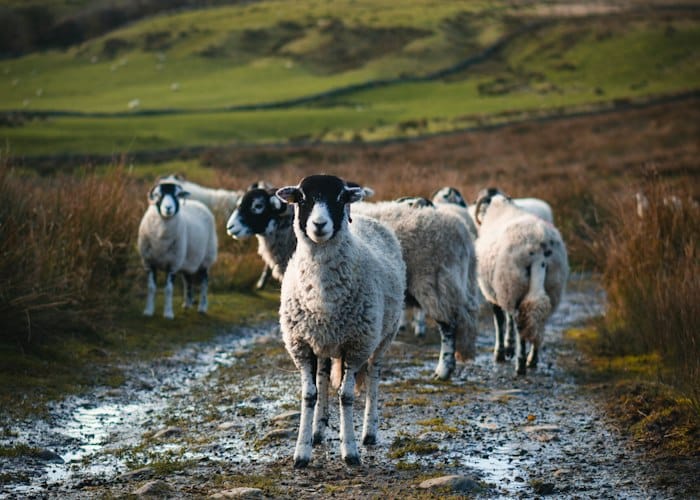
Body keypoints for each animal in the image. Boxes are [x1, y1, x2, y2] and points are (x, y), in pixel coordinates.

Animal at [138, 181, 218, 319]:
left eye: (177, 195)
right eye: (158, 195)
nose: (168, 208)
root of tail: (198, 203)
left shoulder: (172, 264)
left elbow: (169, 289)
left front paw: (168, 313)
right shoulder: (149, 262)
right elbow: (151, 287)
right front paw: (148, 311)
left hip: (206, 257)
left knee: (204, 282)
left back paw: (202, 307)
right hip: (187, 259)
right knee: (188, 280)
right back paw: (187, 303)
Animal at [275, 174, 406, 468]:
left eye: (340, 197)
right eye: (302, 198)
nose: (319, 224)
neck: (323, 296)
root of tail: (367, 217)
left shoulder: (356, 345)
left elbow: (346, 396)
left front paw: (350, 452)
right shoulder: (302, 345)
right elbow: (309, 395)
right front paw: (301, 452)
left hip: (383, 336)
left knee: (373, 378)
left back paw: (369, 433)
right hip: (323, 341)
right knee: (323, 379)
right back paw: (318, 430)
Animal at [474, 190, 569, 375]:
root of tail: (539, 248)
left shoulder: (494, 293)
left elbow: (500, 321)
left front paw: (501, 352)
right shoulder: (506, 292)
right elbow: (508, 319)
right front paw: (509, 347)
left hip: (513, 281)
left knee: (521, 322)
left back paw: (521, 363)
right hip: (551, 284)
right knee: (538, 317)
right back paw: (532, 359)